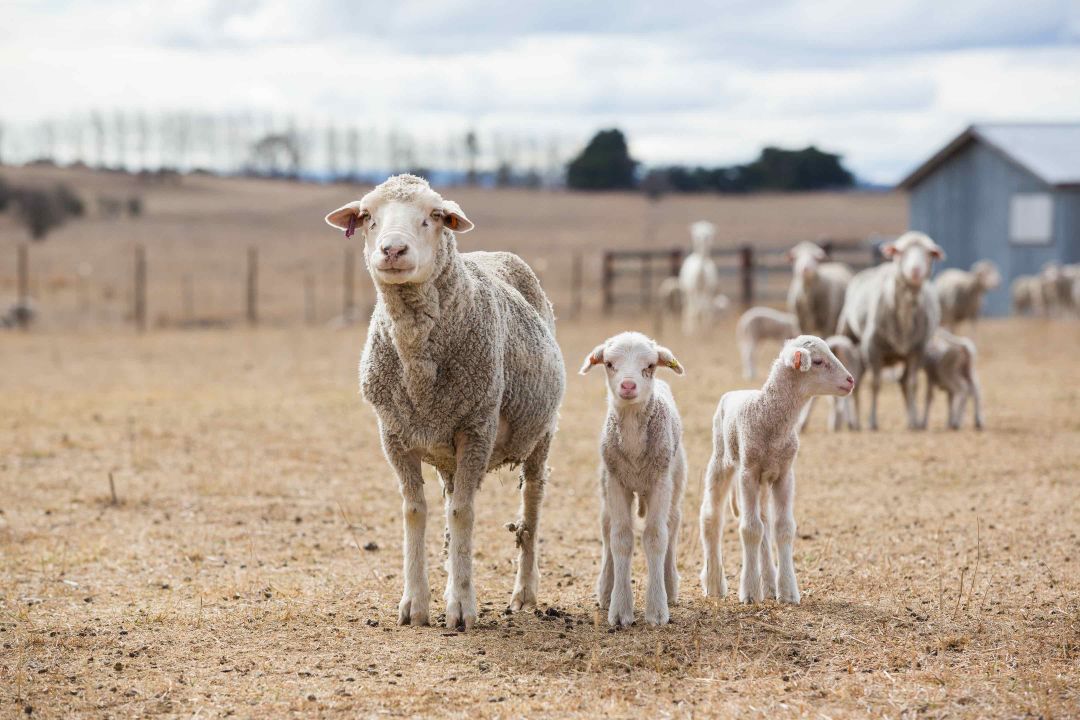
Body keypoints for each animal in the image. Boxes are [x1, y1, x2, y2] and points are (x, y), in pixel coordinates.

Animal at [324, 174, 570, 630]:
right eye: (367, 216)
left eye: (434, 216)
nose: (392, 250)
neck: (419, 365)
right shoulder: (394, 434)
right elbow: (415, 512)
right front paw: (415, 604)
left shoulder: (476, 427)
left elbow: (463, 514)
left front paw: (461, 607)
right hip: (446, 451)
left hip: (541, 433)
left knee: (531, 505)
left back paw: (524, 592)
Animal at [578, 330, 686, 626]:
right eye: (609, 364)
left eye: (649, 366)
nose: (628, 385)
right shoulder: (616, 484)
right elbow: (621, 539)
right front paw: (619, 610)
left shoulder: (660, 482)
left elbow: (656, 538)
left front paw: (657, 610)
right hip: (605, 482)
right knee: (606, 528)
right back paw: (606, 589)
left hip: (675, 478)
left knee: (672, 524)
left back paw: (670, 585)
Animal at [695, 336, 855, 604]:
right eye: (818, 361)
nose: (850, 380)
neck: (767, 414)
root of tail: (736, 391)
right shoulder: (748, 472)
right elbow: (749, 529)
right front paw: (749, 592)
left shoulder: (784, 474)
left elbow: (783, 528)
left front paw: (788, 591)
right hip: (721, 459)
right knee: (712, 517)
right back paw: (715, 583)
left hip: (763, 481)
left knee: (764, 523)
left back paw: (769, 585)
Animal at [833, 234, 946, 431]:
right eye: (900, 252)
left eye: (929, 253)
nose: (915, 270)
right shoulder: (873, 348)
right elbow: (875, 384)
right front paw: (872, 422)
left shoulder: (918, 350)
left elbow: (913, 385)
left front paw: (914, 422)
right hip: (848, 336)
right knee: (856, 380)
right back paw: (850, 421)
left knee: (902, 382)